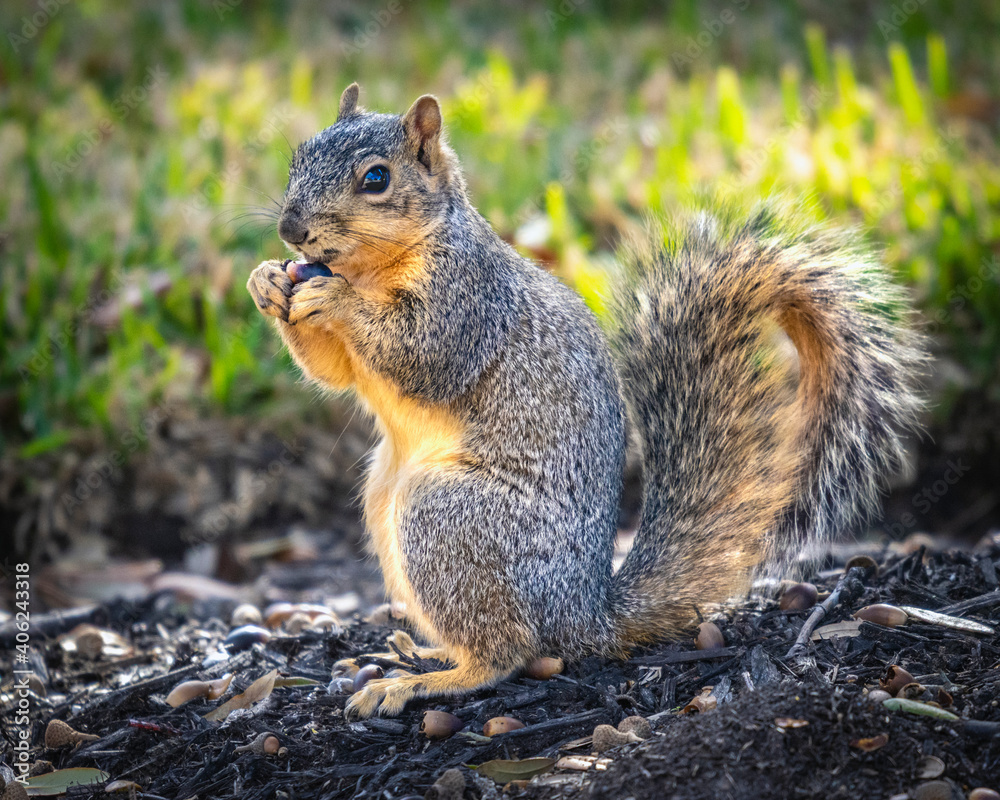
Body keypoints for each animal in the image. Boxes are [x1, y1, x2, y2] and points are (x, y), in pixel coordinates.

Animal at [248, 83, 920, 720]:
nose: (290, 231)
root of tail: (586, 612)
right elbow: (335, 369)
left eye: (376, 179)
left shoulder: (468, 301)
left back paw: (429, 681)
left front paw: (333, 301)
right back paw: (424, 653)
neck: (372, 268)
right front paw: (266, 281)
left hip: (450, 516)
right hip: (388, 499)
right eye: (298, 157)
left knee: (510, 653)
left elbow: (425, 357)